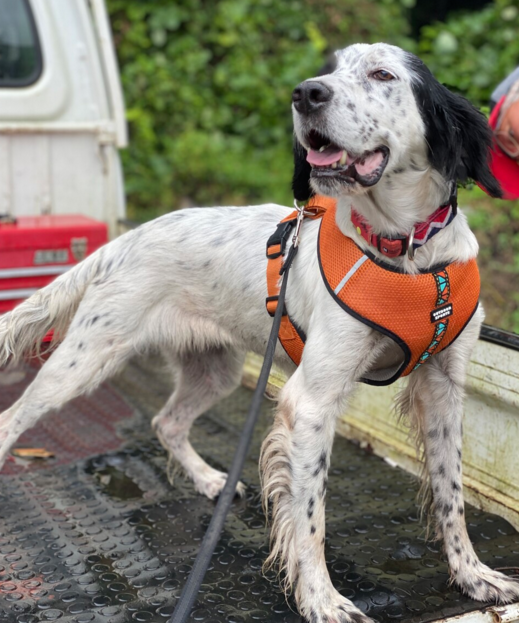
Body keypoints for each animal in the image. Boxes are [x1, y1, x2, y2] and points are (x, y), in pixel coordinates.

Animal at [1, 41, 519, 620]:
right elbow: (309, 518)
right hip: (83, 361)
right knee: (13, 418)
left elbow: (452, 496)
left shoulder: (444, 388)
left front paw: (473, 575)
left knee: (166, 421)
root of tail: (130, 236)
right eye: (328, 69)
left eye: (382, 74)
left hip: (215, 370)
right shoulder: (311, 402)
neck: (407, 253)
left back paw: (210, 480)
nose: (306, 93)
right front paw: (322, 600)